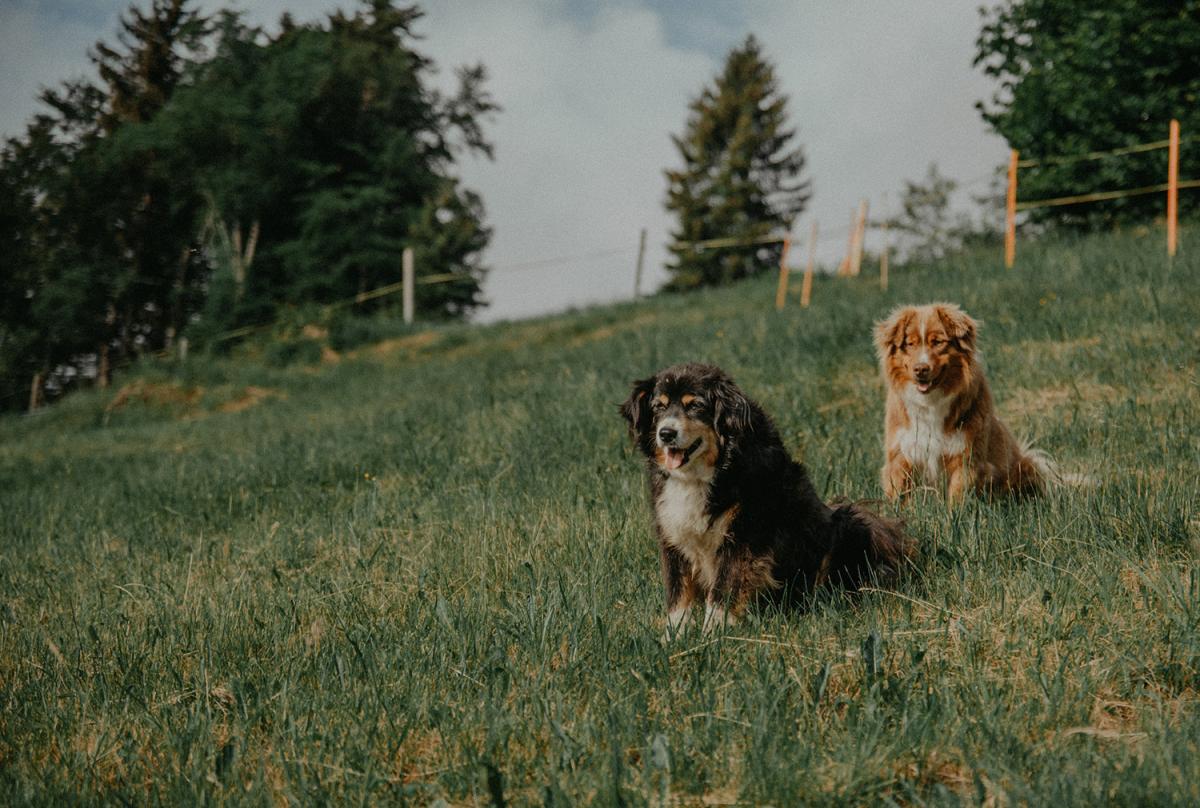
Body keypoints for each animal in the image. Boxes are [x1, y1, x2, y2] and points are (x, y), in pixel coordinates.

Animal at [619, 362, 907, 633]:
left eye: (696, 406)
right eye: (658, 407)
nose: (666, 434)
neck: (706, 473)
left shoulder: (744, 534)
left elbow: (723, 590)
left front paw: (713, 633)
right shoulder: (673, 533)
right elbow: (678, 594)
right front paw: (676, 637)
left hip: (852, 523)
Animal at [873, 303, 1051, 501]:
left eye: (938, 342)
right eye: (910, 344)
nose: (920, 369)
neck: (930, 403)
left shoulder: (966, 457)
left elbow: (958, 497)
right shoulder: (901, 453)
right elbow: (901, 495)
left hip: (1027, 466)